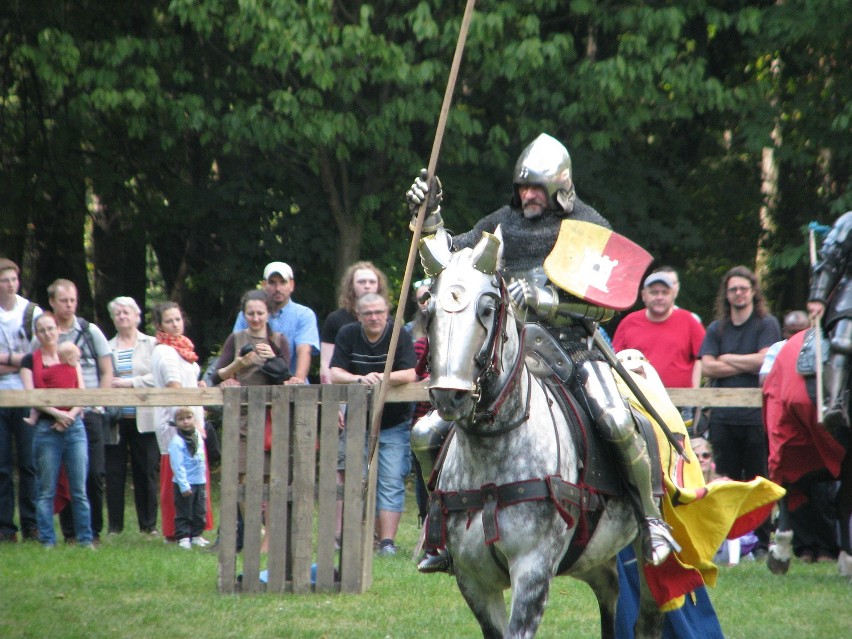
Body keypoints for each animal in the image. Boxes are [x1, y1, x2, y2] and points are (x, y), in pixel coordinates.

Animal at [422, 231, 664, 639]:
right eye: (429, 311)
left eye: (487, 310)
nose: (448, 395)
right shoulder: (473, 581)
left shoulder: (533, 573)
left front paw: (531, 294)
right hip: (593, 557)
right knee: (610, 592)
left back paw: (657, 535)